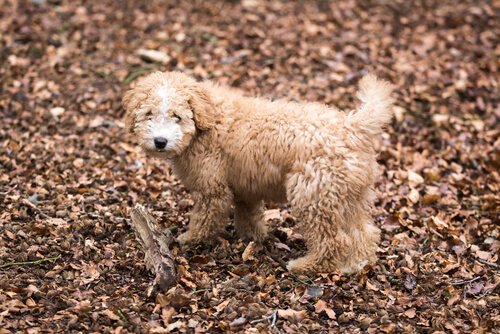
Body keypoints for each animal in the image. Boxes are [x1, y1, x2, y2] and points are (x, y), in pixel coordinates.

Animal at [122, 71, 394, 274]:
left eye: (177, 116)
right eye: (148, 114)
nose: (160, 141)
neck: (207, 119)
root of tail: (353, 126)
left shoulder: (212, 188)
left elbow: (205, 216)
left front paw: (192, 238)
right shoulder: (245, 185)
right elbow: (249, 212)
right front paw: (254, 237)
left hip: (313, 194)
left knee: (333, 240)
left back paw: (306, 265)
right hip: (347, 196)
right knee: (364, 232)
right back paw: (356, 263)